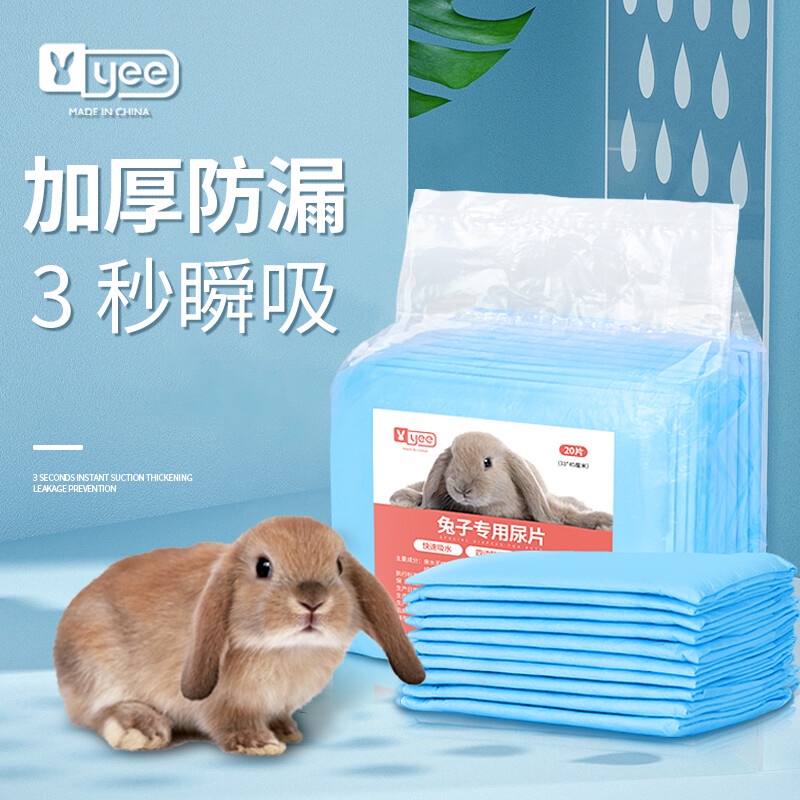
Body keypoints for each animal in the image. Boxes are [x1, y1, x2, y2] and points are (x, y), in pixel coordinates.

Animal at [53, 516, 425, 755]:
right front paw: (260, 744)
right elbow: (230, 723)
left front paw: (287, 732)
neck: (288, 649)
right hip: (98, 668)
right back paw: (142, 731)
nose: (313, 600)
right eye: (263, 567)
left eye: (338, 566)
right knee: (96, 713)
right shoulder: (224, 704)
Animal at [392, 431, 612, 531]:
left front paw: (603, 522)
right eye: (453, 458)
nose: (462, 489)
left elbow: (570, 514)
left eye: (487, 462)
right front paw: (403, 499)